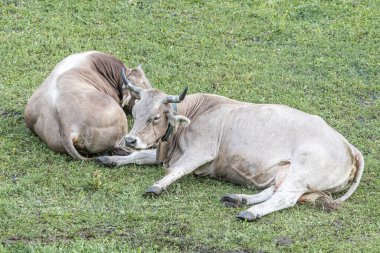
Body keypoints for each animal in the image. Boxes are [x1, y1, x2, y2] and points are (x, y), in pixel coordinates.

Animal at [96, 69, 364, 221]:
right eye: (136, 112)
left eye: (155, 117)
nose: (130, 139)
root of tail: (350, 146)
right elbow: (140, 156)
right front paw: (112, 158)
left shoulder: (201, 151)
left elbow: (176, 170)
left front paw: (157, 186)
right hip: (285, 171)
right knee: (274, 191)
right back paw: (239, 199)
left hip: (303, 172)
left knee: (285, 198)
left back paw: (250, 212)